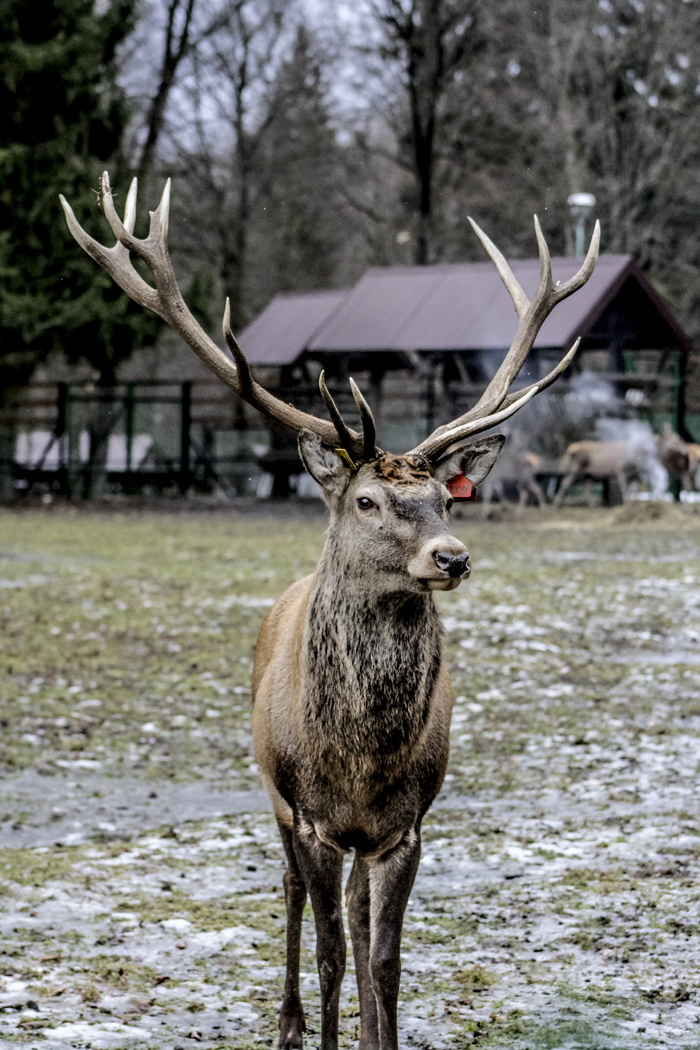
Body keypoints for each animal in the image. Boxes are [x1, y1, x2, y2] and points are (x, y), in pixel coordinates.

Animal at [60, 174, 600, 1050]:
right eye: (369, 500)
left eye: (445, 499)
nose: (452, 557)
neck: (359, 756)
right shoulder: (310, 815)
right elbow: (330, 954)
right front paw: (317, 1030)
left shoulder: (404, 826)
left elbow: (383, 960)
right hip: (274, 797)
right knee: (287, 893)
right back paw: (285, 1024)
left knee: (349, 908)